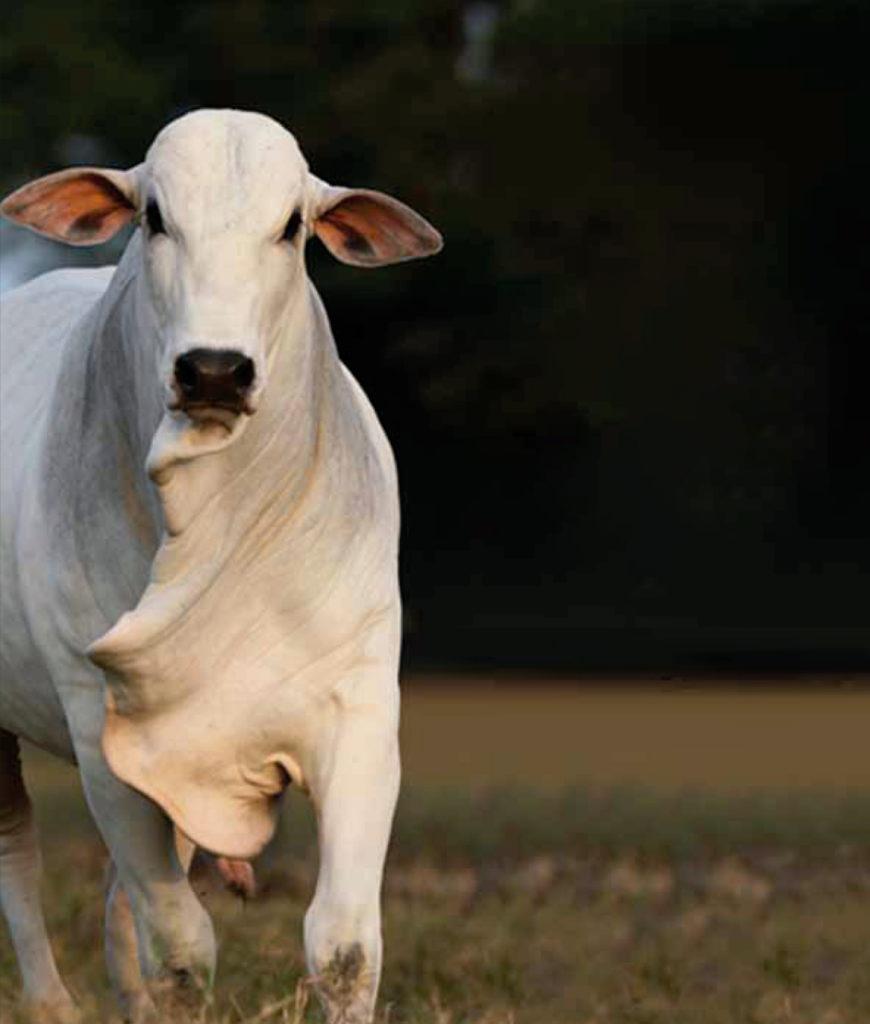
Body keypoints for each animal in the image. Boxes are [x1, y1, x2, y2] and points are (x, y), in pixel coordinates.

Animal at [1, 105, 440, 1024]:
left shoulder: (360, 712)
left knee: (114, 908)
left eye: (292, 227)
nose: (213, 371)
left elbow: (344, 948)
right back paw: (51, 1003)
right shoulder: (101, 729)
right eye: (154, 217)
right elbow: (181, 951)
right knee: (18, 856)